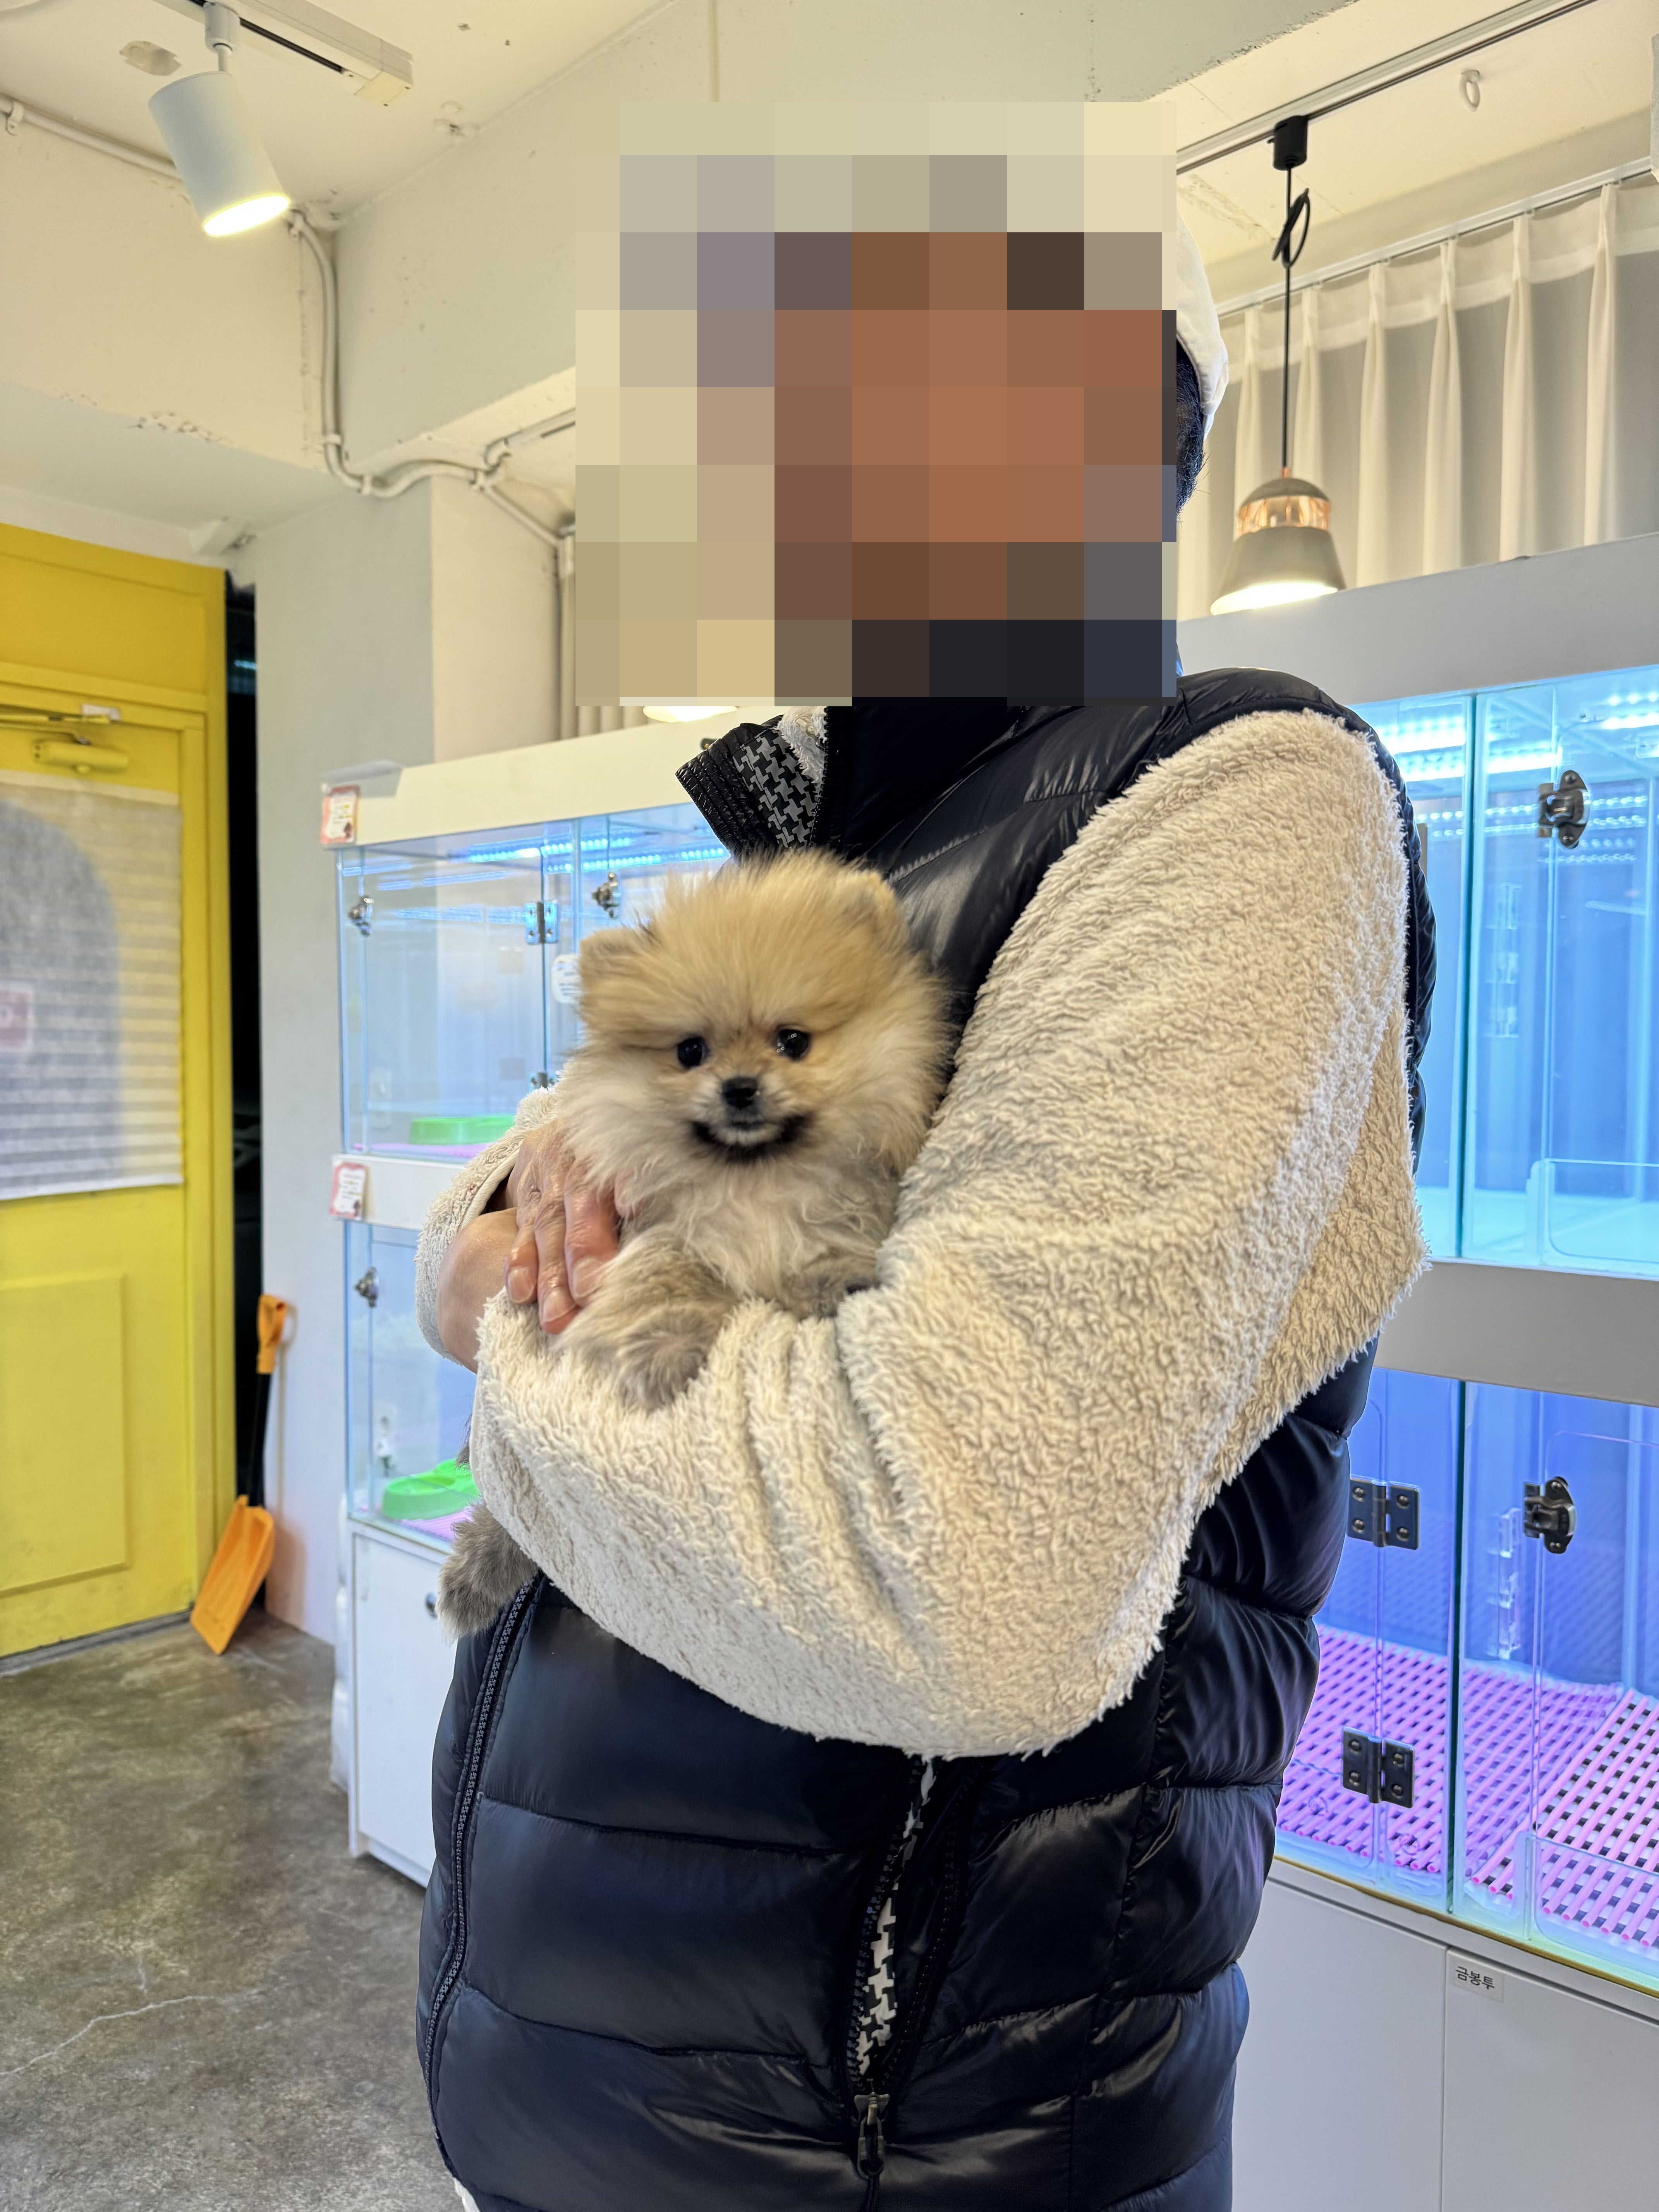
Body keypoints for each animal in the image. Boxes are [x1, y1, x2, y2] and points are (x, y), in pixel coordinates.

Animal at [436, 850, 952, 1637]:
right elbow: (669, 1273)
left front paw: (833, 1281)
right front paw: (668, 1344)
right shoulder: (655, 1231)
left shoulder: (834, 1211)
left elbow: (825, 1250)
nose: (739, 1086)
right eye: (690, 1051)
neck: (754, 1182)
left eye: (793, 1041)